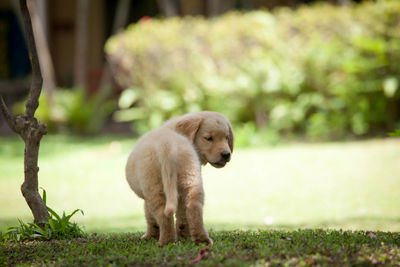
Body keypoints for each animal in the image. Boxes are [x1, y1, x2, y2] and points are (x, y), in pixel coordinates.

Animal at [126, 111, 234, 247]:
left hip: (154, 187)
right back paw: (201, 239)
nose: (226, 154)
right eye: (209, 138)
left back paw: (166, 241)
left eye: (226, 138)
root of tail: (168, 146)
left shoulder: (147, 196)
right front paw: (183, 235)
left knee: (163, 215)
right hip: (191, 179)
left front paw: (149, 236)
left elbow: (149, 216)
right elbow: (182, 214)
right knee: (194, 208)